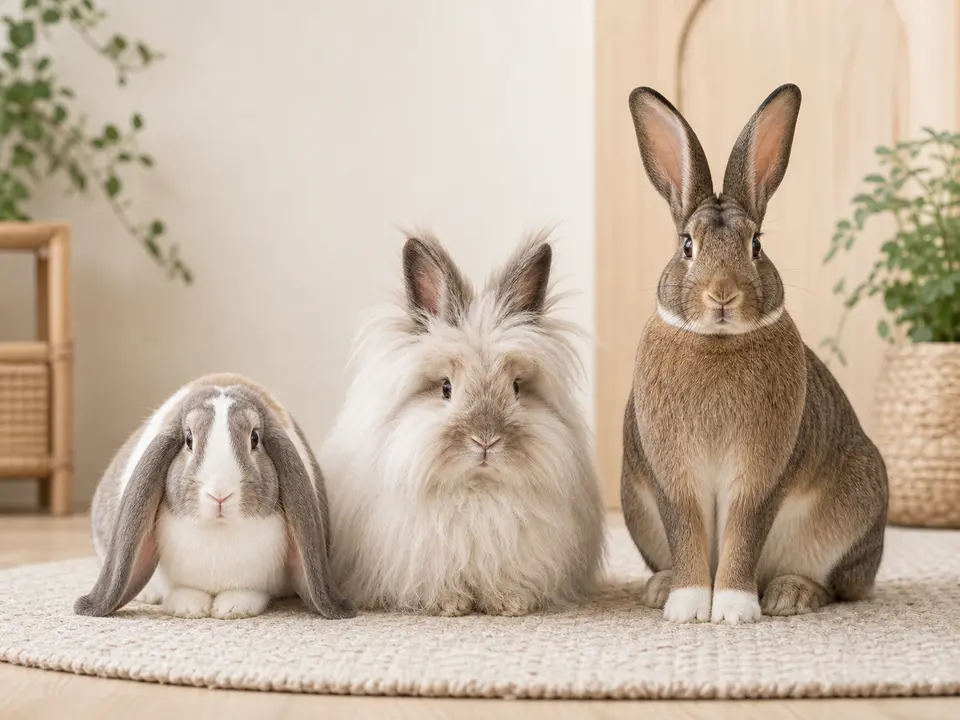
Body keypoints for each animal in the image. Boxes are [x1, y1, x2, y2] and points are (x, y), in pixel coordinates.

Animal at [74, 373, 354, 620]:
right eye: (188, 440)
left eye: (254, 438)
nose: (220, 494)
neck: (219, 532)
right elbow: (183, 591)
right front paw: (188, 607)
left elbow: (247, 592)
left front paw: (232, 608)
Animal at [320, 232, 605, 616]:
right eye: (446, 388)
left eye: (516, 387)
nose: (485, 441)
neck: (476, 493)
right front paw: (450, 605)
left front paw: (510, 604)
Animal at [620, 84, 888, 624]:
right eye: (687, 246)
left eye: (756, 246)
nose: (722, 295)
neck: (717, 341)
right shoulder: (672, 479)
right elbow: (686, 530)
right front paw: (686, 606)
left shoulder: (761, 476)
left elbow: (745, 531)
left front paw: (732, 610)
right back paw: (659, 587)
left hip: (854, 513)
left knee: (838, 586)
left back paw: (790, 595)